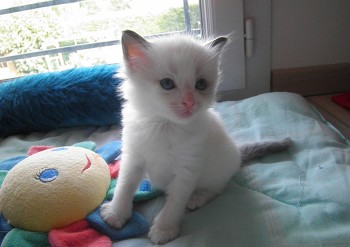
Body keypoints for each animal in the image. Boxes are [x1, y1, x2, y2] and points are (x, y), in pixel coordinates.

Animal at [99, 29, 241, 244]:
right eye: (167, 84)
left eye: (201, 84)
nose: (189, 102)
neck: (165, 126)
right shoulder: (133, 157)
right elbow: (125, 185)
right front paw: (116, 214)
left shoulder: (187, 170)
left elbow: (174, 203)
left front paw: (164, 230)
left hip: (220, 168)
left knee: (217, 188)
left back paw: (197, 198)